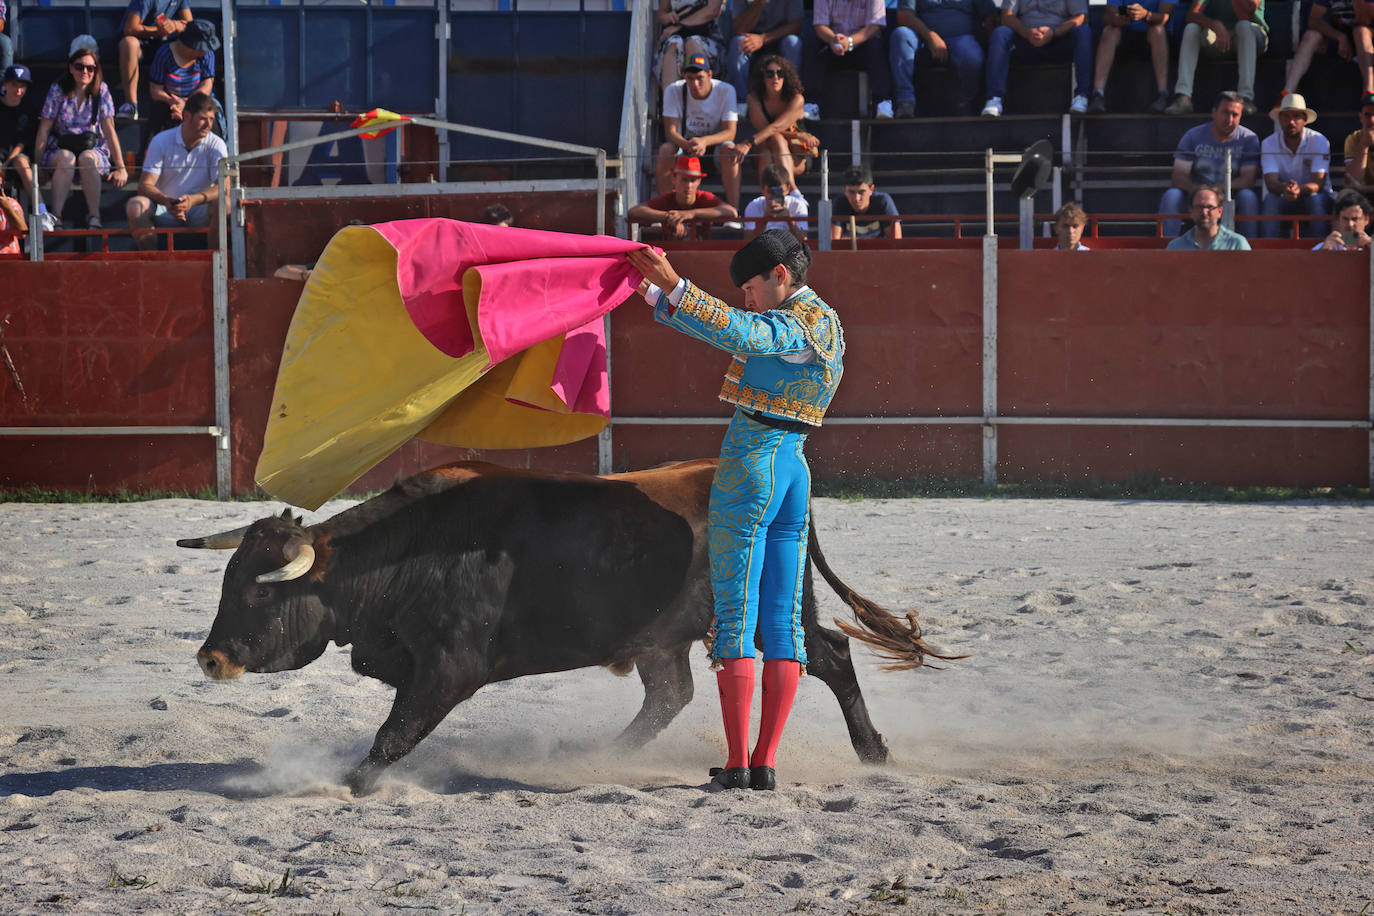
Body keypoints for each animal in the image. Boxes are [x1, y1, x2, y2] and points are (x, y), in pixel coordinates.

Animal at [179, 458, 956, 796]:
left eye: (259, 596)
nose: (210, 660)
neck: (404, 555)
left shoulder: (449, 669)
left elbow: (395, 732)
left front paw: (354, 783)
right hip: (664, 636)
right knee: (669, 695)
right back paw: (599, 757)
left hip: (768, 613)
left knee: (827, 657)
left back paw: (873, 753)